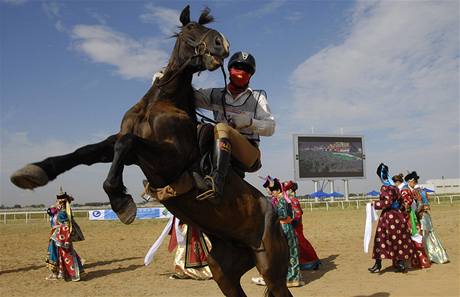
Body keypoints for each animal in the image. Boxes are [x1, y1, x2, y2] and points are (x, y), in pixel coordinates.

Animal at [10, 5, 292, 294]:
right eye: (192, 28)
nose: (221, 43)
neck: (163, 101)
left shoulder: (169, 159)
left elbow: (126, 144)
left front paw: (121, 201)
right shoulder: (125, 147)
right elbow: (86, 152)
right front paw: (33, 173)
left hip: (271, 269)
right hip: (224, 271)